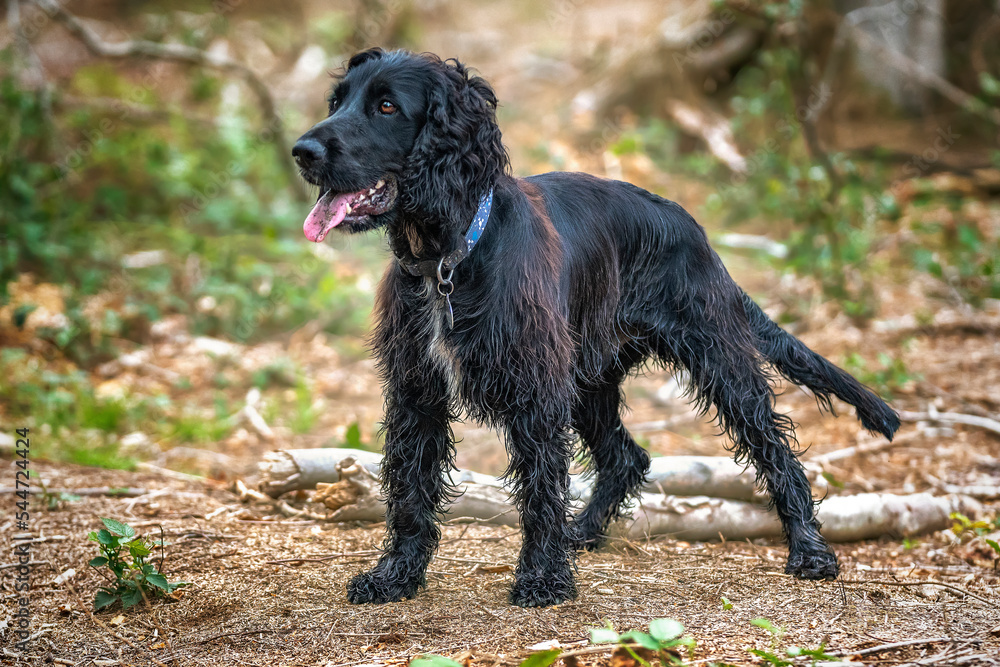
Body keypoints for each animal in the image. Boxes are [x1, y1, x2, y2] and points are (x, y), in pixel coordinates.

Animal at [292, 49, 904, 608]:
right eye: (337, 101)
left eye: (386, 106)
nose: (302, 151)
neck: (447, 257)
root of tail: (694, 229)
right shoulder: (417, 392)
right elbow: (410, 490)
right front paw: (396, 575)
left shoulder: (535, 392)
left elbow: (540, 487)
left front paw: (542, 579)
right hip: (589, 380)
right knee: (626, 457)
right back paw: (580, 531)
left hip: (718, 362)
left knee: (775, 452)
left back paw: (810, 550)